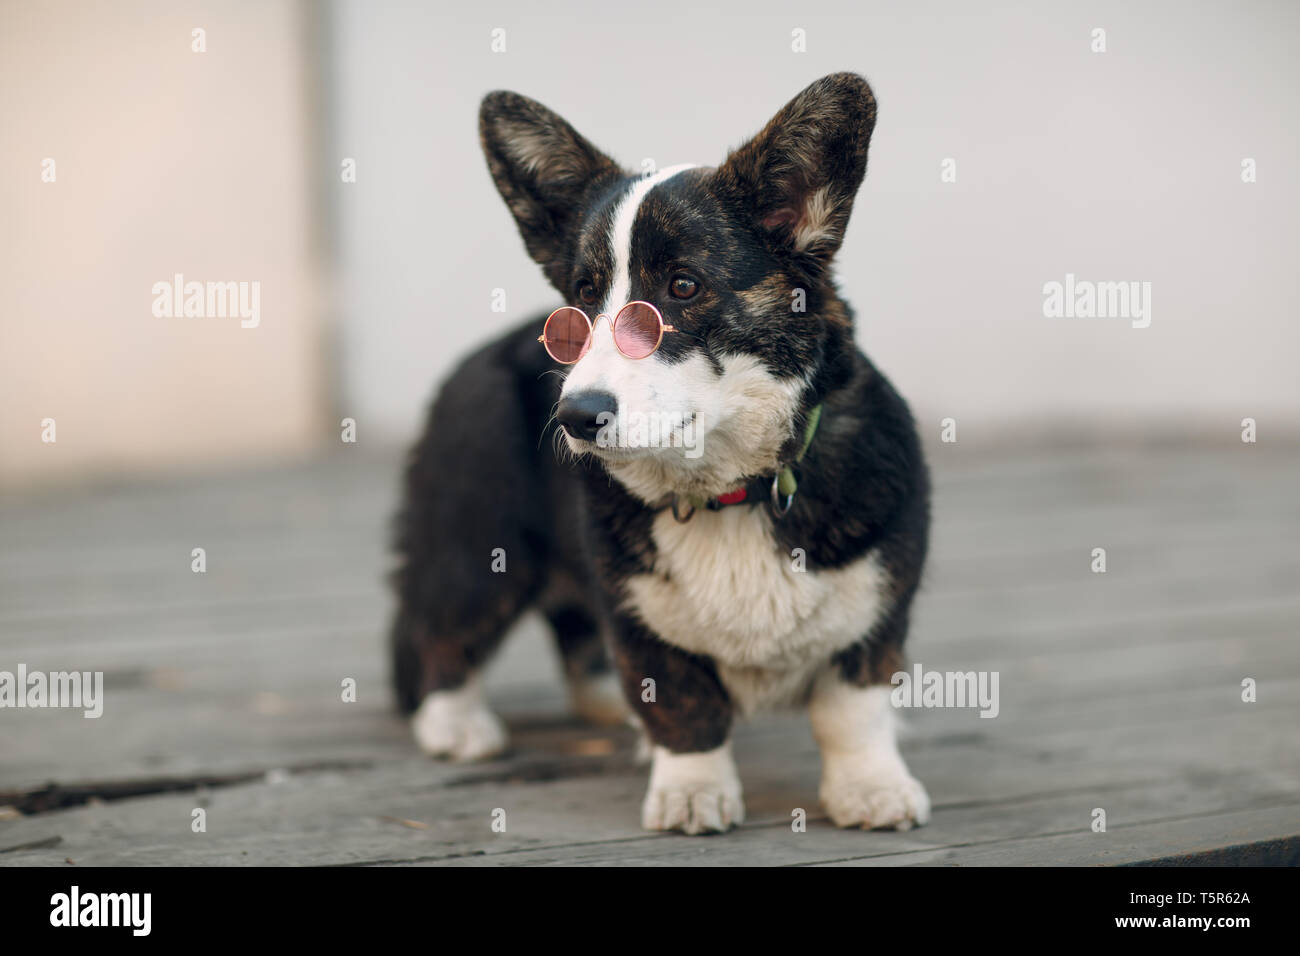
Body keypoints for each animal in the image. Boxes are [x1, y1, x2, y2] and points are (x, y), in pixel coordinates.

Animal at [390, 72, 930, 837]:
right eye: (583, 295)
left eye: (682, 287)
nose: (574, 418)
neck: (730, 491)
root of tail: (481, 353)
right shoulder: (639, 617)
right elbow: (683, 705)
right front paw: (692, 793)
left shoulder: (878, 608)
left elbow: (852, 711)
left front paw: (872, 788)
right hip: (478, 546)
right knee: (444, 630)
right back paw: (455, 724)